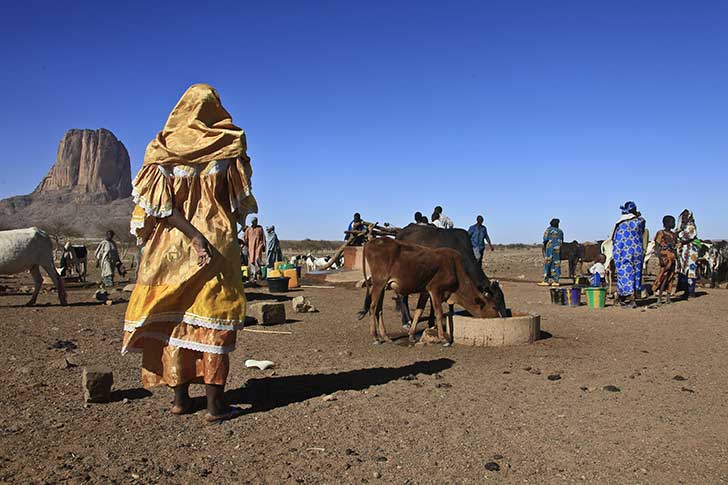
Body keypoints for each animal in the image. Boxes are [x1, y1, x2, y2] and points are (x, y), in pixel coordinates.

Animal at [356, 237, 500, 344]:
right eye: (493, 307)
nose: (498, 317)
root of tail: (370, 242)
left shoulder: (425, 292)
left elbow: (419, 312)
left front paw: (412, 335)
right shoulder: (435, 289)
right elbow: (438, 312)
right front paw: (442, 338)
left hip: (382, 286)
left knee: (379, 309)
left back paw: (385, 336)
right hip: (379, 283)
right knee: (373, 307)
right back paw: (375, 336)